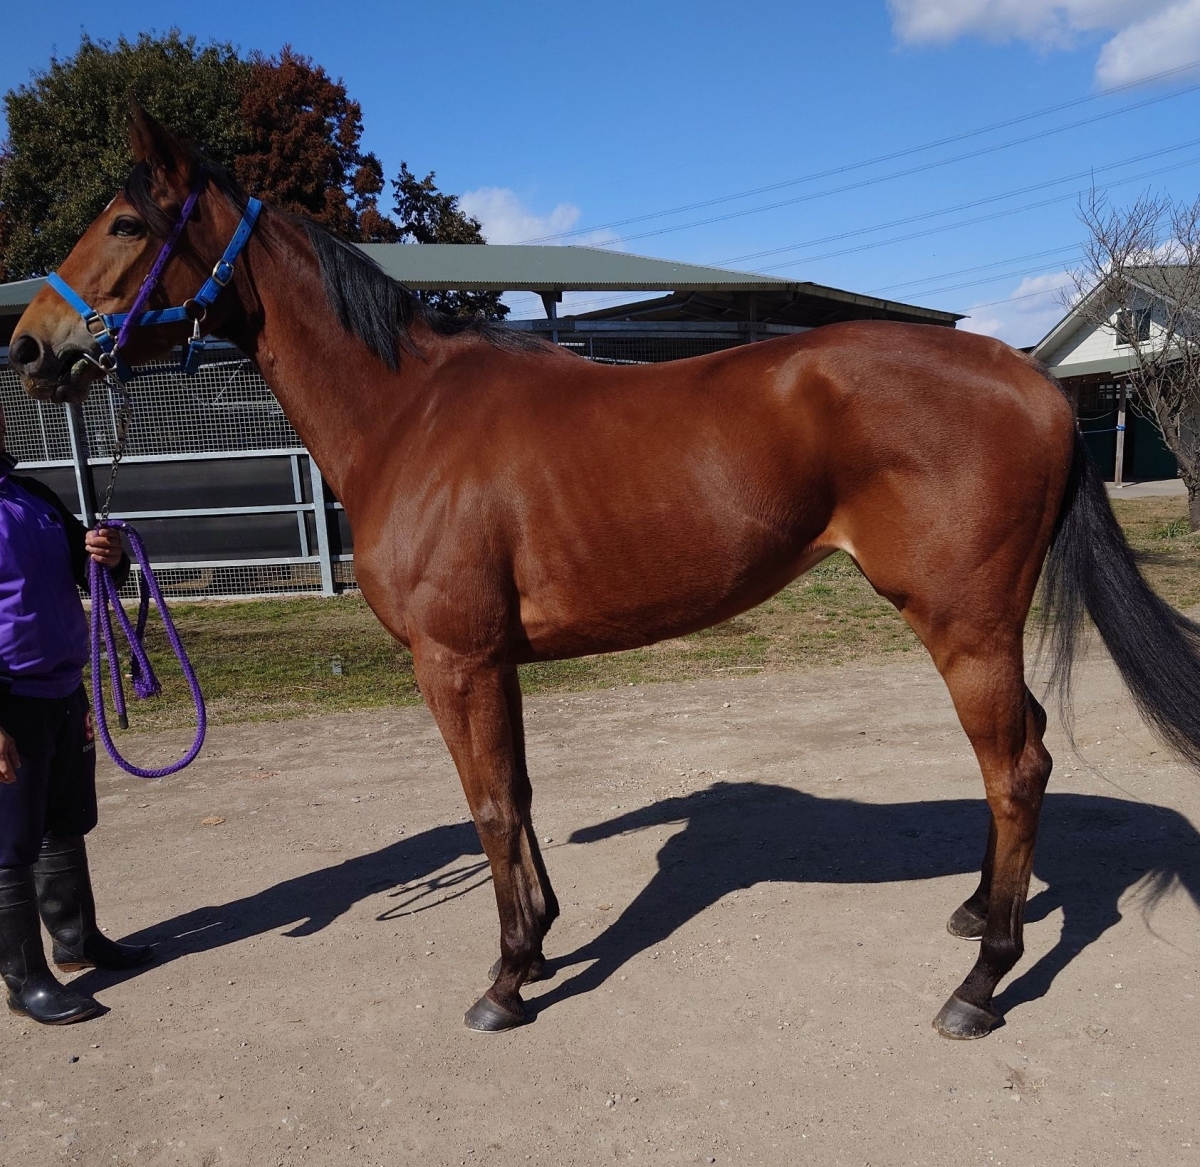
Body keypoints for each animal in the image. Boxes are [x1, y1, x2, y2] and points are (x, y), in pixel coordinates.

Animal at [9, 97, 1200, 1032]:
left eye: (125, 221)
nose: (30, 346)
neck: (408, 417)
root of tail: (1033, 381)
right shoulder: (492, 662)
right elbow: (519, 796)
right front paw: (537, 943)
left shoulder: (453, 661)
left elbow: (489, 805)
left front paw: (504, 981)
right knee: (1023, 760)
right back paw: (979, 912)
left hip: (963, 626)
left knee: (1016, 770)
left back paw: (980, 984)